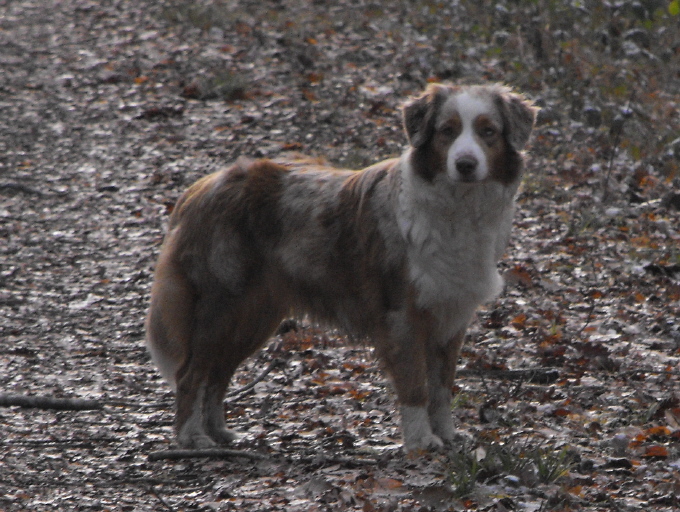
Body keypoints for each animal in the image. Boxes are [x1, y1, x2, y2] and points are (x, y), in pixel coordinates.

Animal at [145, 82, 536, 454]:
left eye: (488, 132)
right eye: (447, 131)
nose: (465, 164)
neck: (457, 207)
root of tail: (203, 186)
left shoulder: (451, 316)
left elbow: (441, 389)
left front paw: (447, 435)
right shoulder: (402, 315)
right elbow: (415, 386)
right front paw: (421, 441)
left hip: (254, 317)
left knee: (217, 376)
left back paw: (219, 432)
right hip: (221, 306)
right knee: (190, 374)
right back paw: (192, 437)